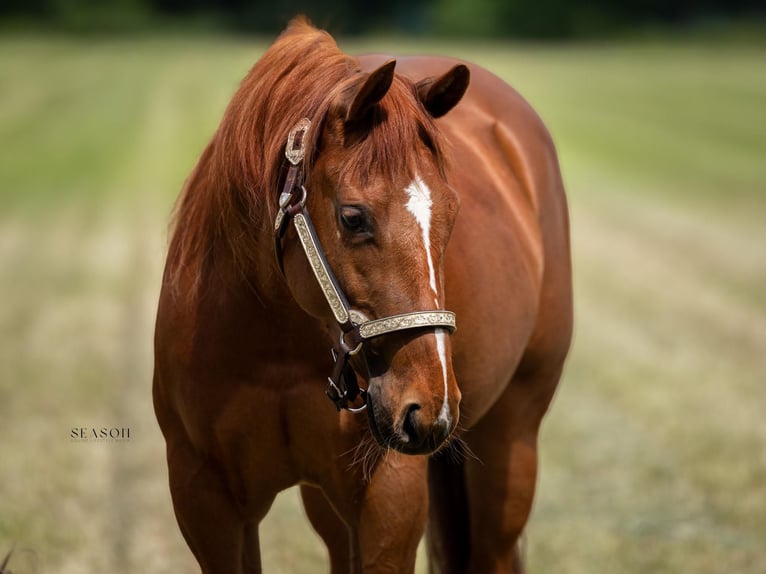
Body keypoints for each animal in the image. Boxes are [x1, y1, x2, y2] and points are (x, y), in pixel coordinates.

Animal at [153, 17, 572, 574]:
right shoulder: (207, 500)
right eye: (353, 217)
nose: (429, 408)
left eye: (453, 214)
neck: (272, 347)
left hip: (513, 437)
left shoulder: (388, 498)